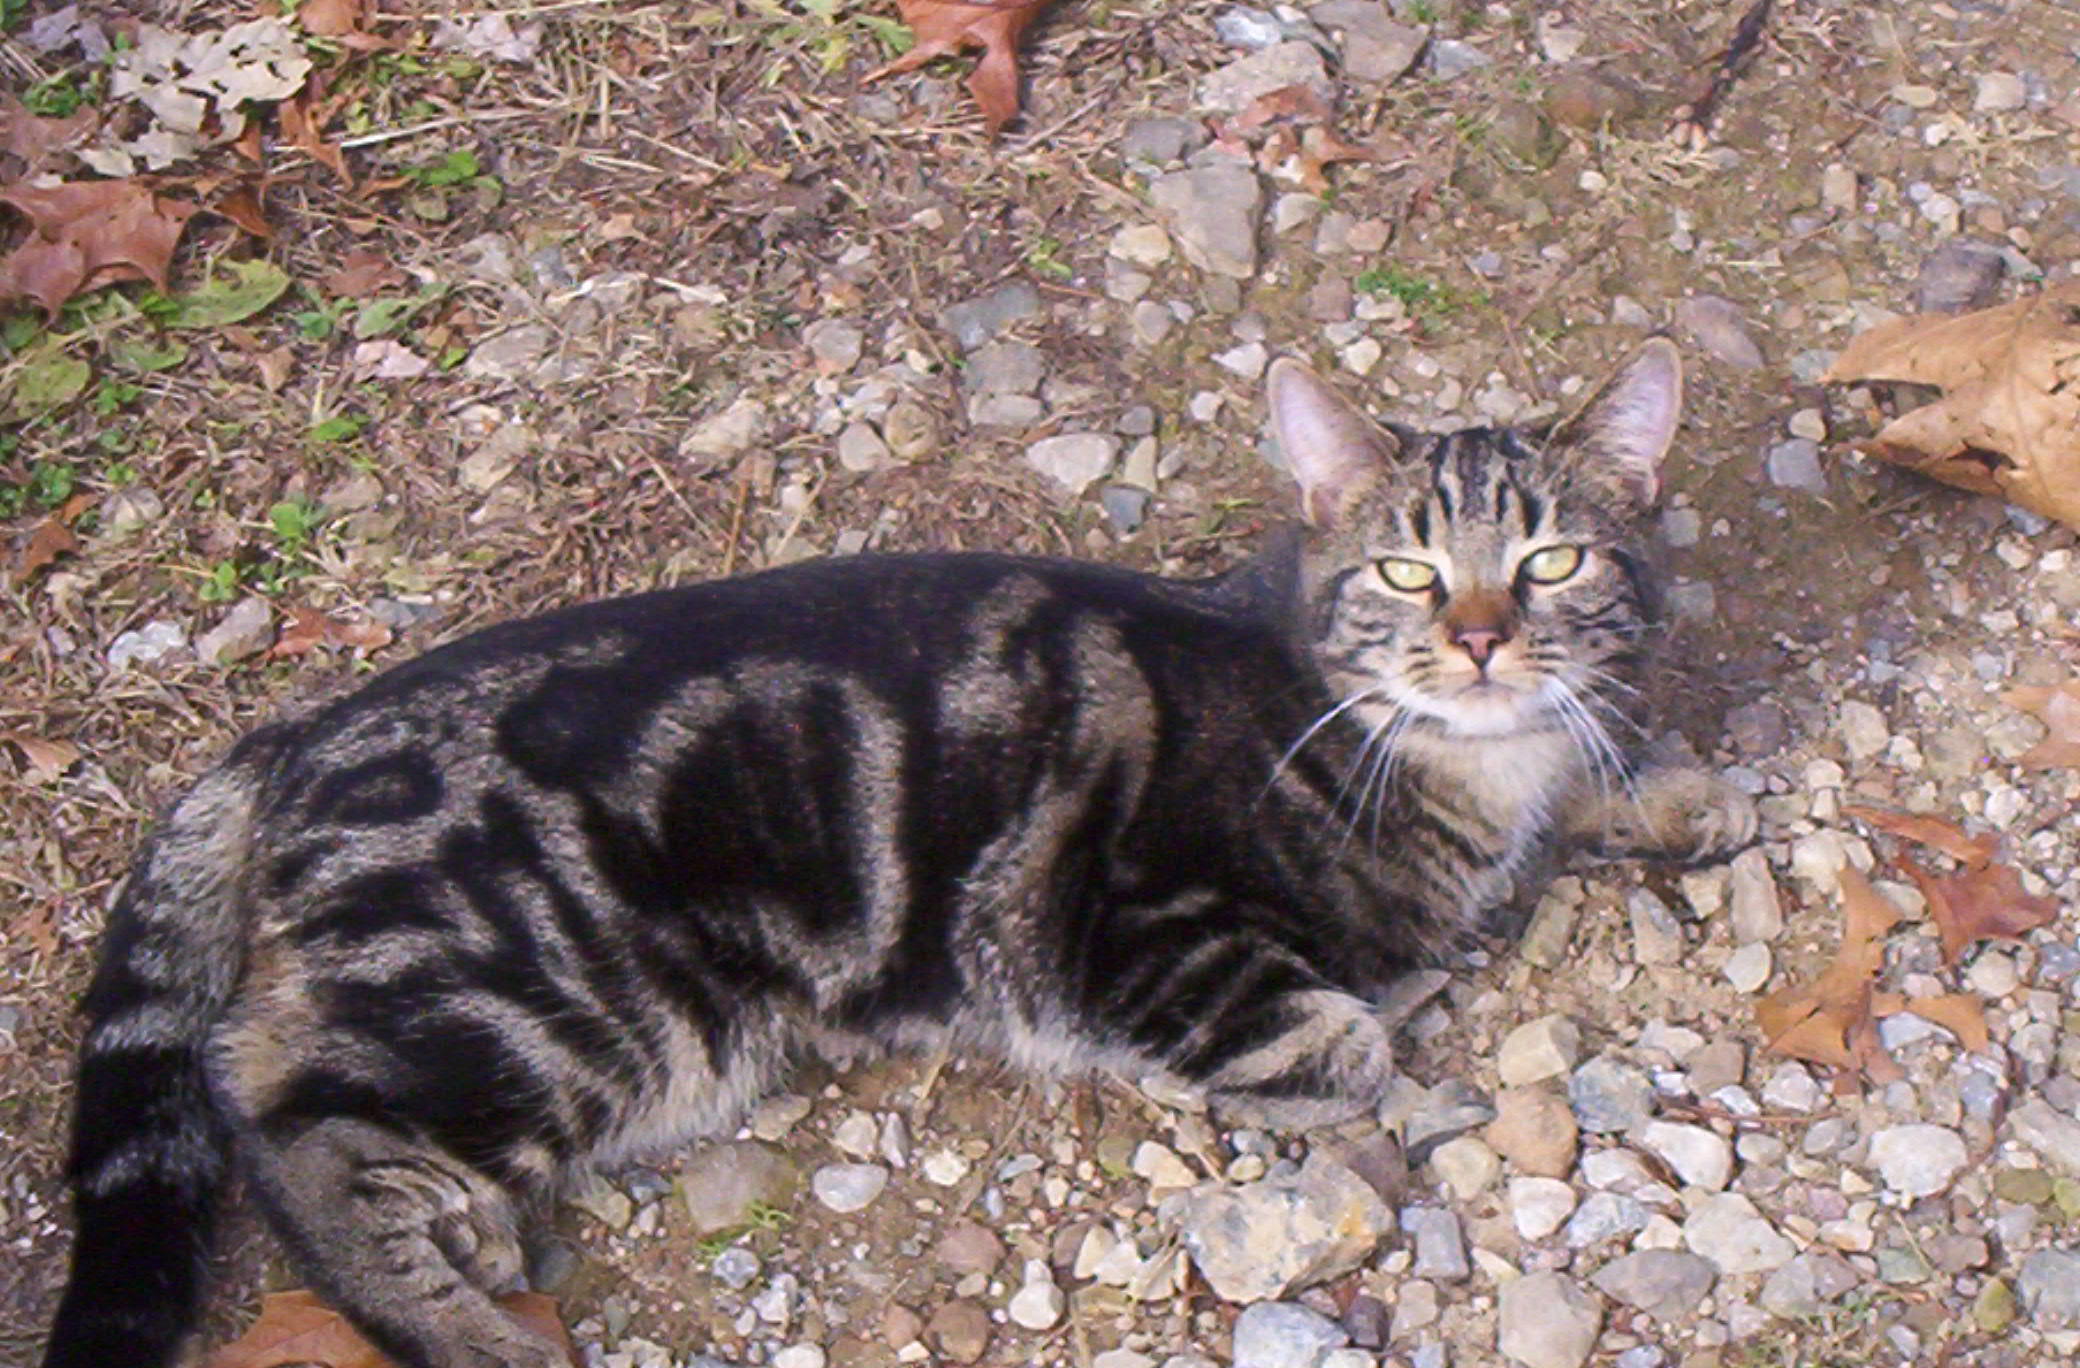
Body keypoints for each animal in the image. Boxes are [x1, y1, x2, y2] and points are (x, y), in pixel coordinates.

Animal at [40, 338, 1747, 1363]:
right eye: (1406, 570)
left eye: (1550, 560)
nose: (1479, 639)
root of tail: (296, 736)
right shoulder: (1126, 933)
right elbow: (1350, 1041)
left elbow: (1591, 779)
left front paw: (1677, 796)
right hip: (552, 999)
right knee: (277, 1104)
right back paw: (474, 1326)